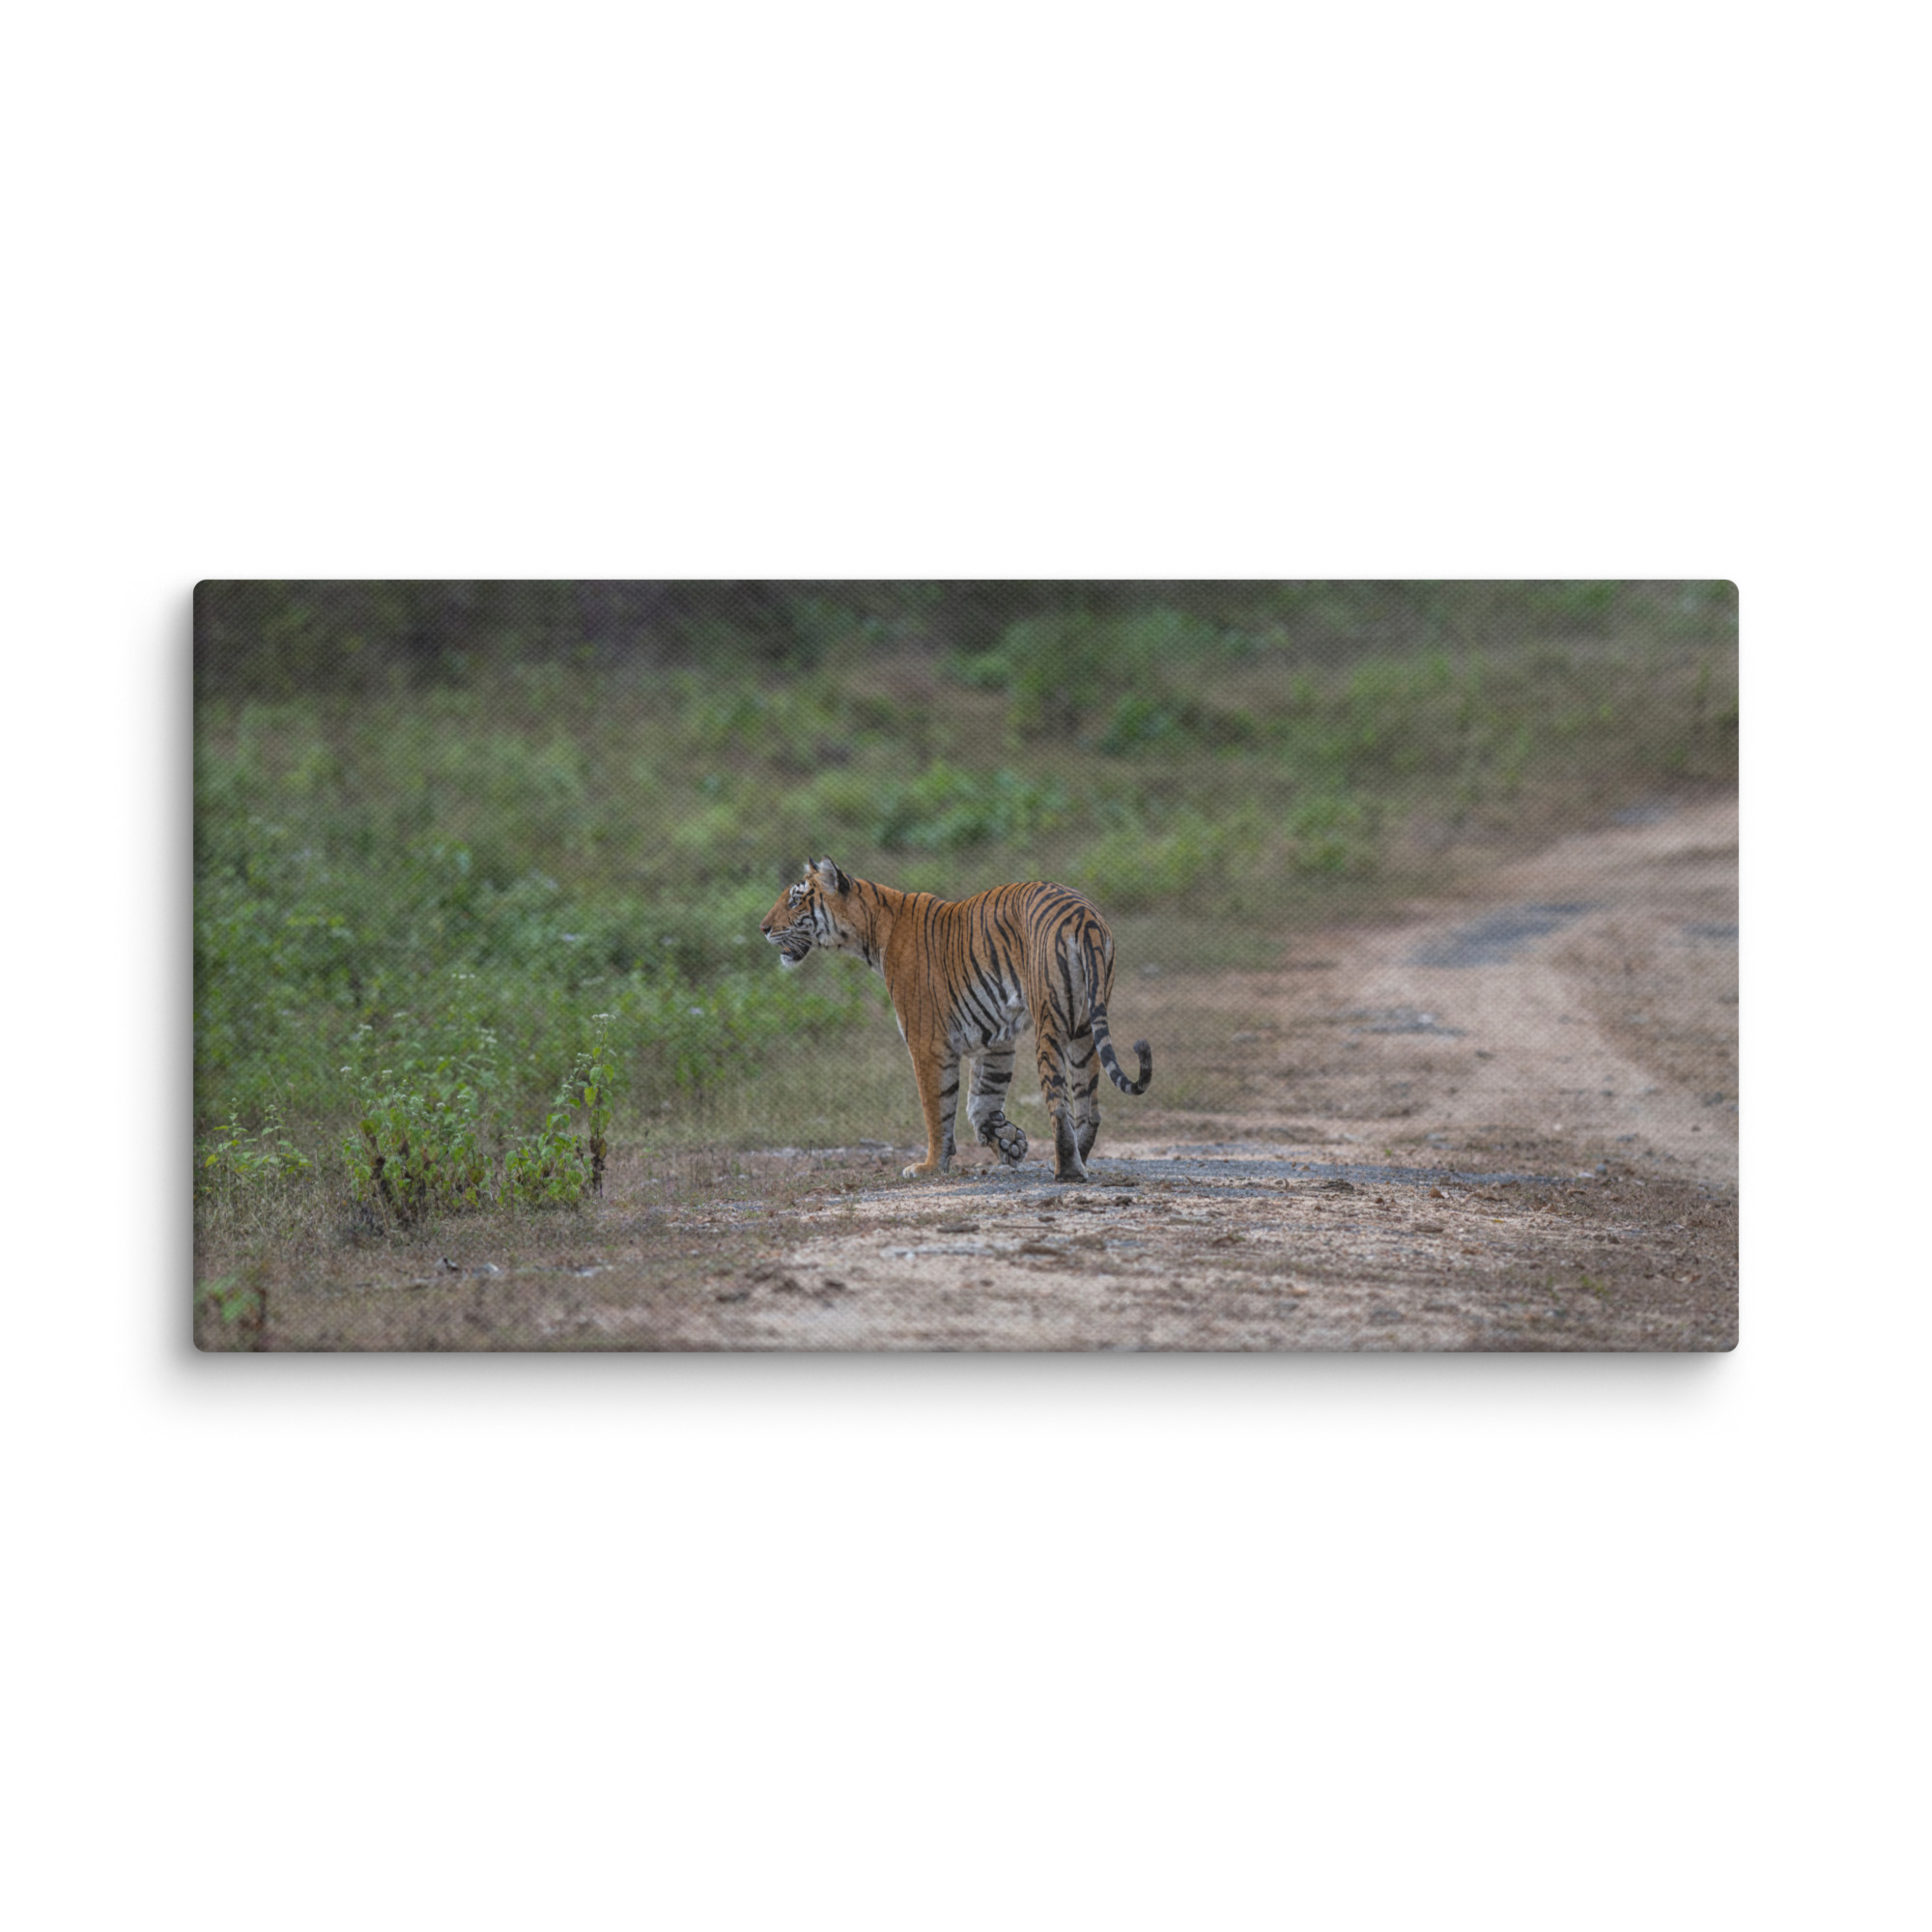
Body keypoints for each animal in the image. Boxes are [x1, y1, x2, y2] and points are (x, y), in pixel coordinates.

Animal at [760, 858, 1152, 1183]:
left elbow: (938, 1107)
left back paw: (1067, 1170)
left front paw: (931, 1166)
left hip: (1051, 1022)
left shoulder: (927, 1042)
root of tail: (1083, 915)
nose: (763, 928)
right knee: (1089, 1108)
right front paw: (1008, 1141)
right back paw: (1078, 1159)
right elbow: (982, 1099)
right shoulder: (996, 1040)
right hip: (1084, 1027)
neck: (871, 930)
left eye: (795, 900)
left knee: (1059, 1105)